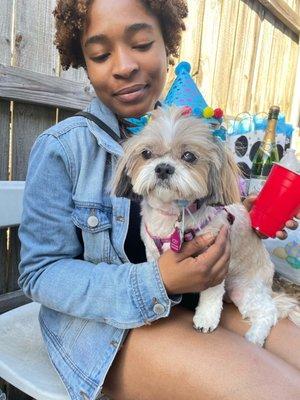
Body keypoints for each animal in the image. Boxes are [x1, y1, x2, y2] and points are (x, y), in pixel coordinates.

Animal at [111, 107, 298, 346]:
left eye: (189, 156)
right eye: (146, 153)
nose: (163, 168)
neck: (173, 215)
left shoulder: (215, 260)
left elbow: (211, 293)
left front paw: (206, 319)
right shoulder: (153, 252)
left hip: (246, 288)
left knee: (268, 312)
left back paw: (255, 336)